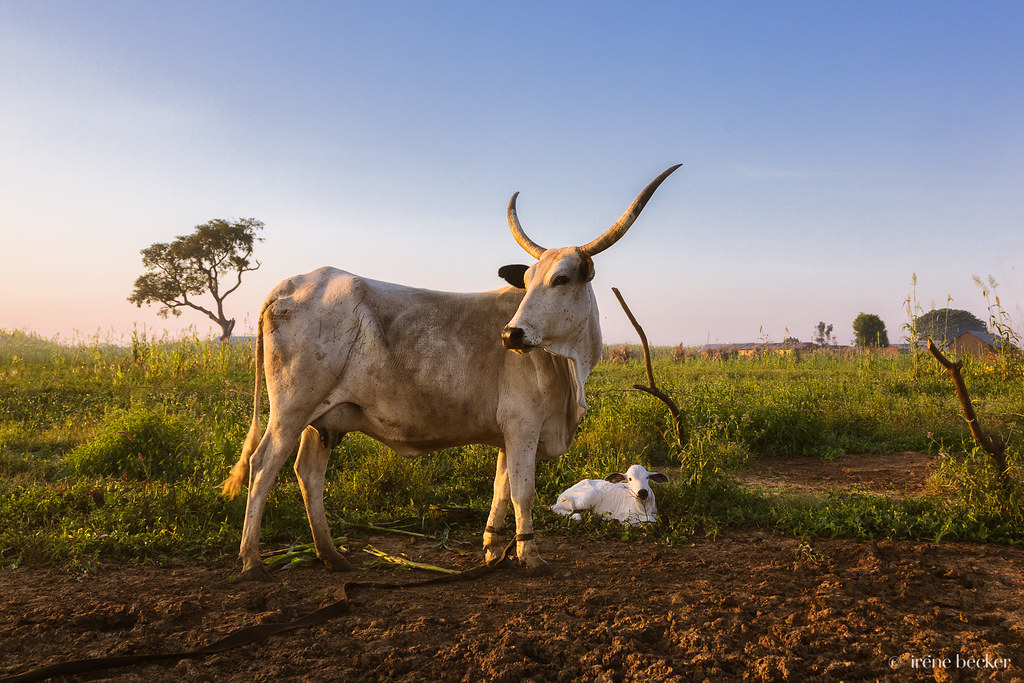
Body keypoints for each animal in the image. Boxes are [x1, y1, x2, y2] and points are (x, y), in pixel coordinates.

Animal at [219, 163, 679, 577]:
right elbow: (523, 493)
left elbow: (500, 489)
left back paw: (332, 556)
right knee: (263, 466)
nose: (511, 334)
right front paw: (531, 558)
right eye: (528, 280)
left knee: (308, 474)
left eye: (562, 279)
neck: (565, 365)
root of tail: (291, 284)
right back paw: (252, 561)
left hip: (323, 420)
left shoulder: (507, 434)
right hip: (291, 411)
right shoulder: (523, 427)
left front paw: (494, 552)